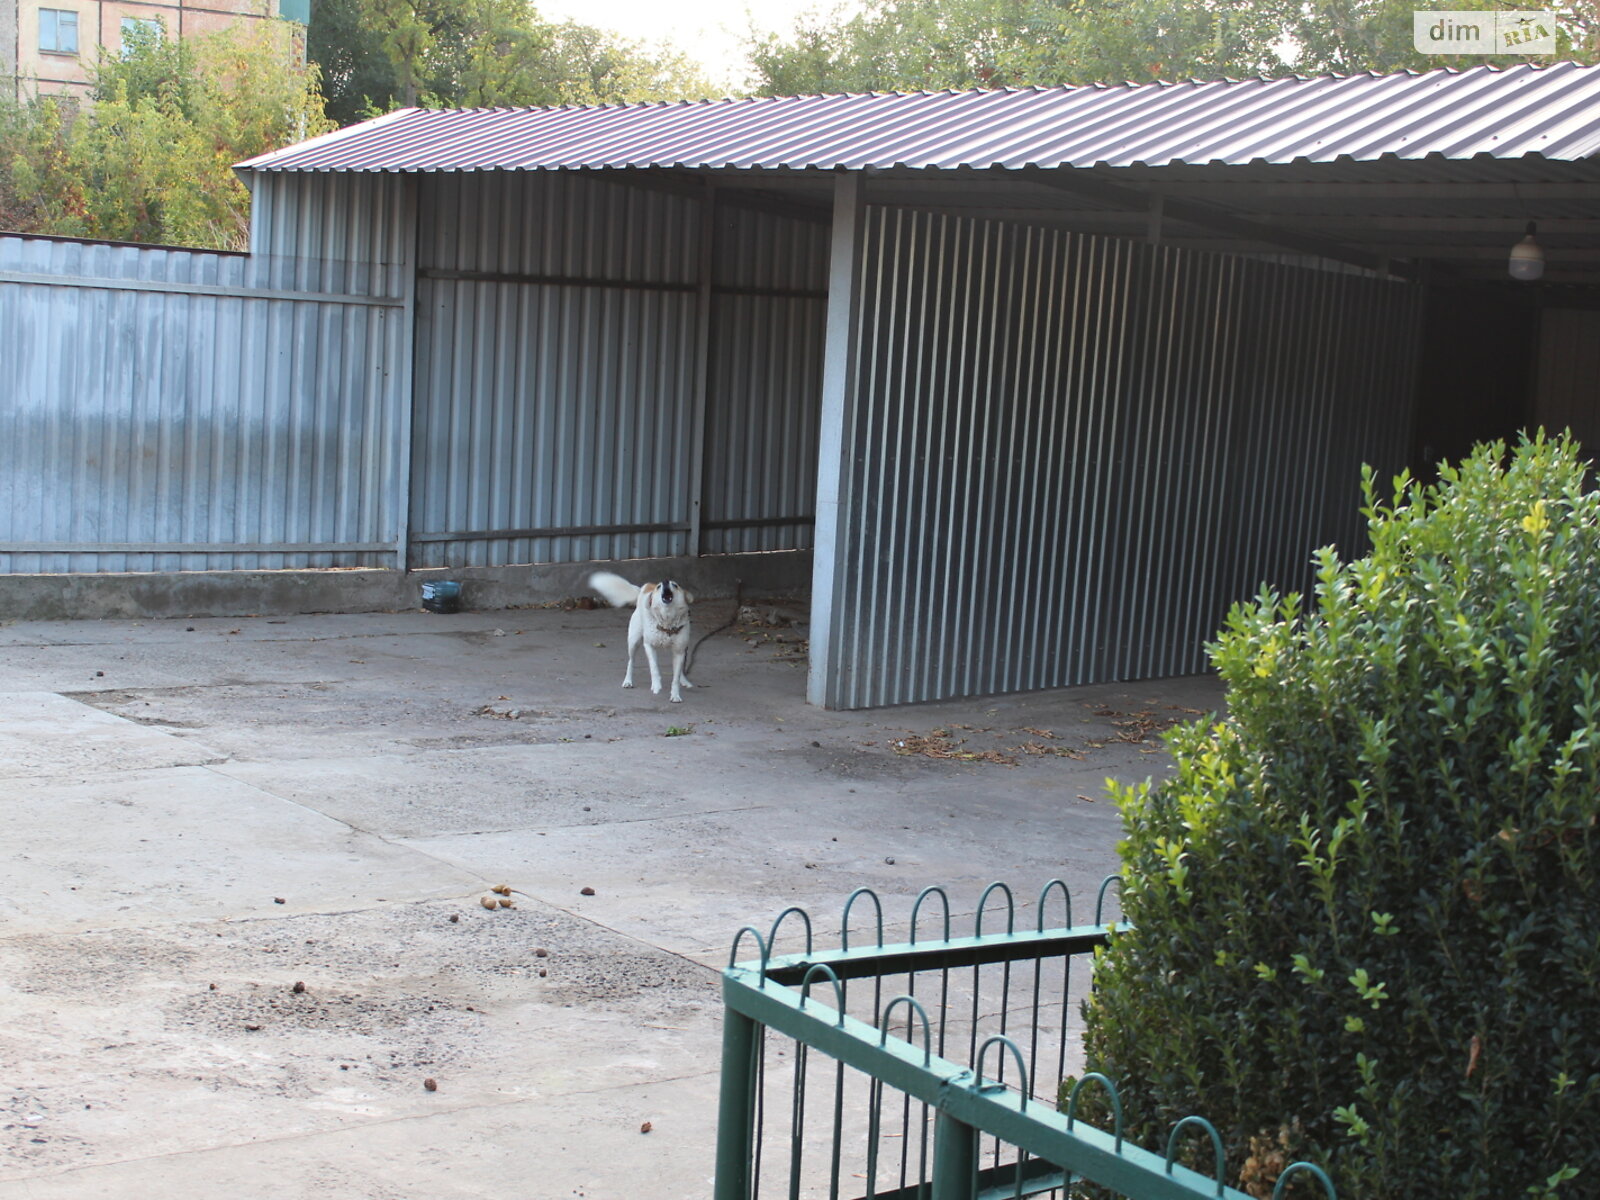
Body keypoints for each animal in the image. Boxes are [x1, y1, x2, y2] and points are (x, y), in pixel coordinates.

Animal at [585, 572, 691, 704]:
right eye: (659, 586)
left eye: (675, 585)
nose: (665, 581)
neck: (667, 623)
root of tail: (644, 588)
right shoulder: (649, 645)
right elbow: (654, 667)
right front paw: (656, 685)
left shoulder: (679, 651)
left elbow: (675, 677)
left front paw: (675, 695)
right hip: (633, 642)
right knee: (631, 662)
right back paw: (628, 681)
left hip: (682, 650)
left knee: (680, 669)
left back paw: (684, 680)